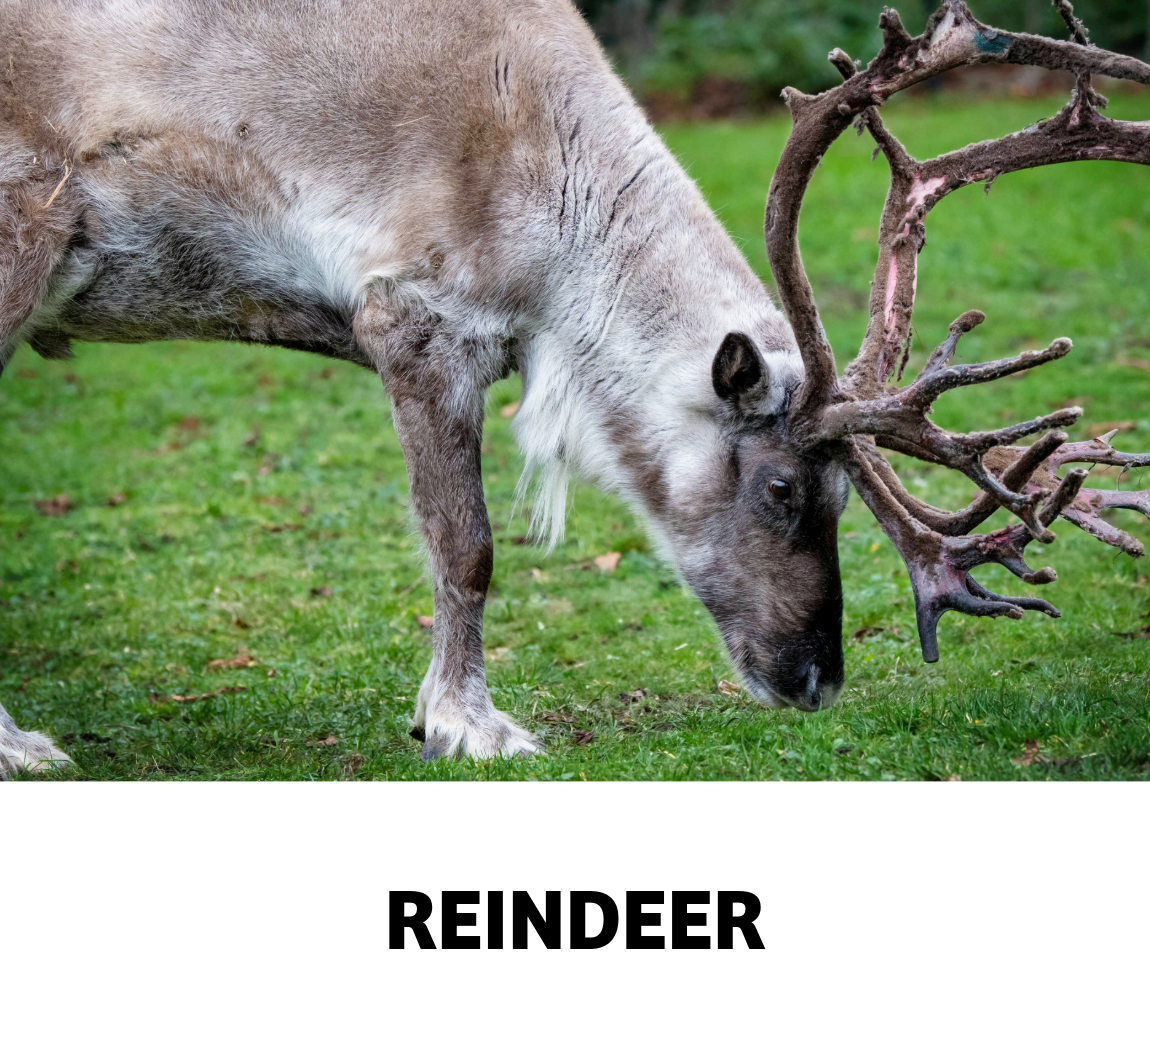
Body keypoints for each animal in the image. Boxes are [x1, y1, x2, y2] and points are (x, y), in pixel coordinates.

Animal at [1, 0, 1148, 775]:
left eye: (838, 494)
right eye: (781, 488)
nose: (817, 679)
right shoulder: (418, 313)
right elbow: (466, 548)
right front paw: (467, 724)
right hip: (27, 228)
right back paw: (23, 744)